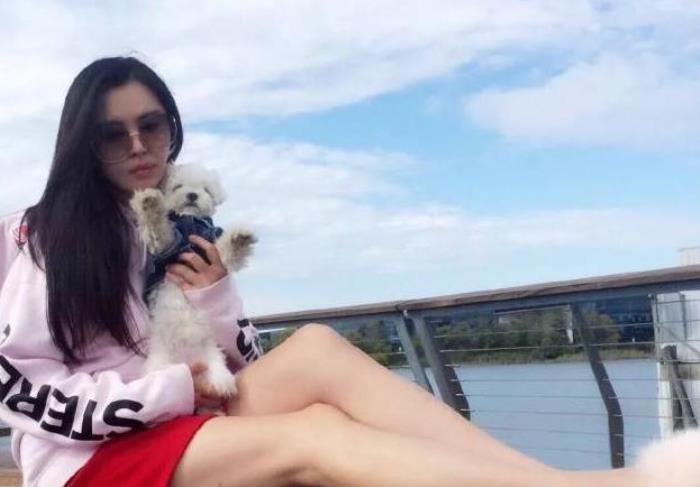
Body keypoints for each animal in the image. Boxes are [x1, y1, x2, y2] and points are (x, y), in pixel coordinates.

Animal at [129, 163, 256, 401]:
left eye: (205, 189)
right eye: (178, 186)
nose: (192, 195)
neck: (190, 221)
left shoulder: (213, 249)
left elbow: (227, 251)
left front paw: (239, 237)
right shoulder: (167, 245)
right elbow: (159, 229)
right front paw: (149, 202)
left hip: (211, 353)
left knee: (216, 366)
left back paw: (222, 381)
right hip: (160, 364)